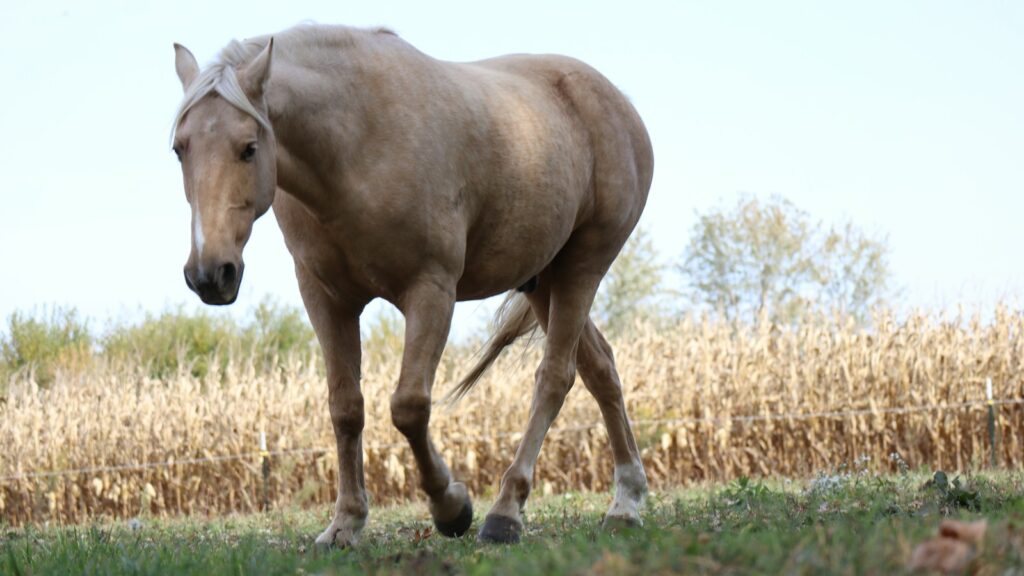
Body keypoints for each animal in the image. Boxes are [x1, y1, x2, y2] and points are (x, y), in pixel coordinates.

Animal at [171, 23, 653, 546]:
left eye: (249, 148)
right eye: (180, 148)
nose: (209, 273)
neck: (356, 145)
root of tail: (619, 104)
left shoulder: (431, 291)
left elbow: (409, 406)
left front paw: (451, 507)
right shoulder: (326, 299)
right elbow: (345, 407)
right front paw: (345, 523)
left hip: (582, 267)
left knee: (554, 378)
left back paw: (505, 513)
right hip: (544, 280)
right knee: (600, 369)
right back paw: (626, 501)